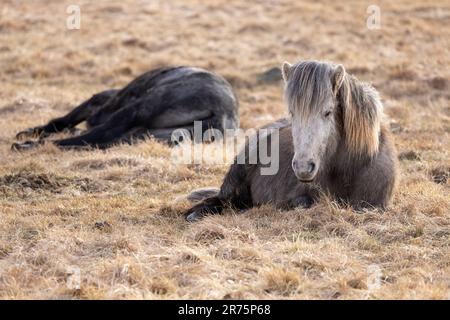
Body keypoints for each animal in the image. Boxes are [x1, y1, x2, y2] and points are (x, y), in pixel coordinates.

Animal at [10, 65, 239, 151]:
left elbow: (64, 120)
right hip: (147, 134)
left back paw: (31, 145)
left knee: (95, 135)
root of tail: (224, 111)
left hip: (137, 110)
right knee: (99, 142)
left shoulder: (99, 102)